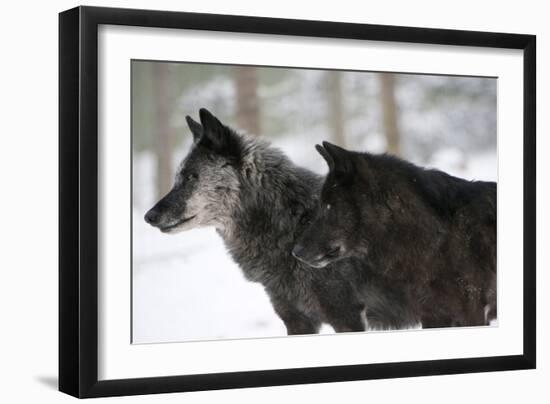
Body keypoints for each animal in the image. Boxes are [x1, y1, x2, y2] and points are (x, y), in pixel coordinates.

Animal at [144, 108, 416, 334]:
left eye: (191, 177)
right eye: (178, 176)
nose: (148, 216)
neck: (294, 226)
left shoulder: (346, 317)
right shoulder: (295, 320)